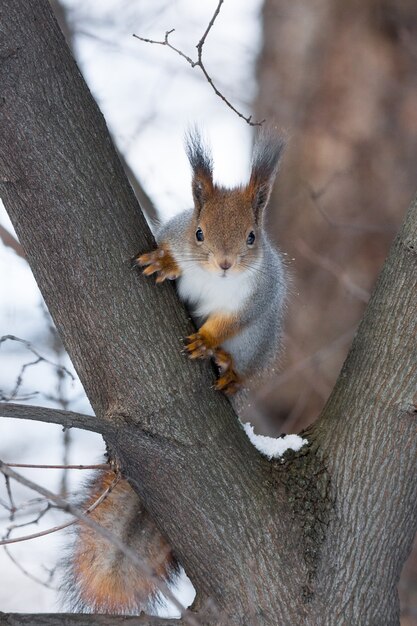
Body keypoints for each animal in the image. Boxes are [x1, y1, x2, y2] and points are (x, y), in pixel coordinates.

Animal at [63, 128, 286, 616]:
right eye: (198, 232)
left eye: (251, 237)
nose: (224, 264)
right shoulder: (175, 237)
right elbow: (169, 255)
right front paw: (164, 263)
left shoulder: (255, 299)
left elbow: (230, 322)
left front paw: (206, 342)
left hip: (258, 346)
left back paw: (227, 370)